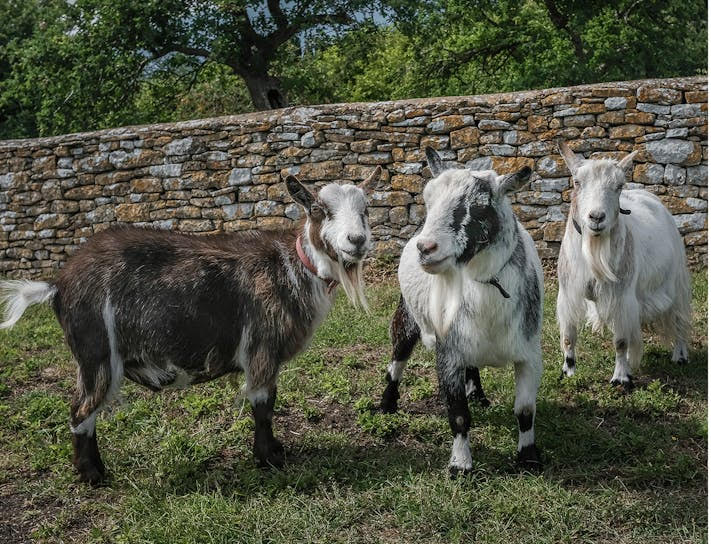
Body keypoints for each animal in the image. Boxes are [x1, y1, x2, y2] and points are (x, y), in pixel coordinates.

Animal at [1, 168, 384, 482]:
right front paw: (269, 458)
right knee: (81, 409)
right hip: (95, 353)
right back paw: (92, 474)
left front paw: (275, 450)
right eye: (319, 210)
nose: (356, 241)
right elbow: (264, 404)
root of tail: (57, 284)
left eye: (366, 210)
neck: (291, 267)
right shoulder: (261, 347)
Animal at [382, 150, 544, 476]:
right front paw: (460, 465)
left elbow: (525, 411)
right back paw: (386, 403)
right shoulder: (448, 352)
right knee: (398, 354)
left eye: (480, 206)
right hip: (407, 313)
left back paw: (478, 394)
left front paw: (528, 458)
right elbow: (457, 414)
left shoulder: (530, 353)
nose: (426, 248)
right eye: (428, 199)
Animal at [560, 140, 692, 386]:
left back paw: (680, 356)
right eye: (577, 182)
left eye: (619, 186)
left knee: (678, 318)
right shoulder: (568, 293)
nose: (596, 217)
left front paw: (621, 378)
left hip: (676, 281)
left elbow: (620, 340)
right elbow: (568, 336)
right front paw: (568, 370)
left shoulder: (620, 297)